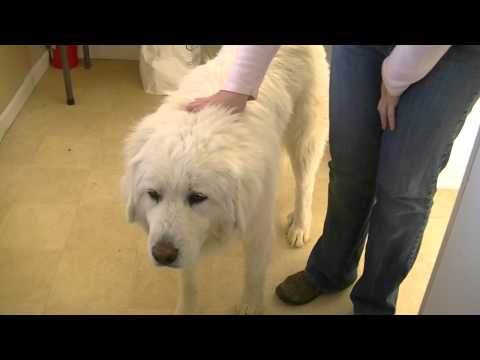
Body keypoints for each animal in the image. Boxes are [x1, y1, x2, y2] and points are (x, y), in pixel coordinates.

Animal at [122, 45, 328, 316]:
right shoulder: (189, 244)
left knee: (304, 185)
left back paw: (299, 226)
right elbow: (188, 282)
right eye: (153, 194)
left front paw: (250, 306)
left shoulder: (258, 228)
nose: (163, 254)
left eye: (197, 197)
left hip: (305, 138)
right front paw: (187, 308)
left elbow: (253, 276)